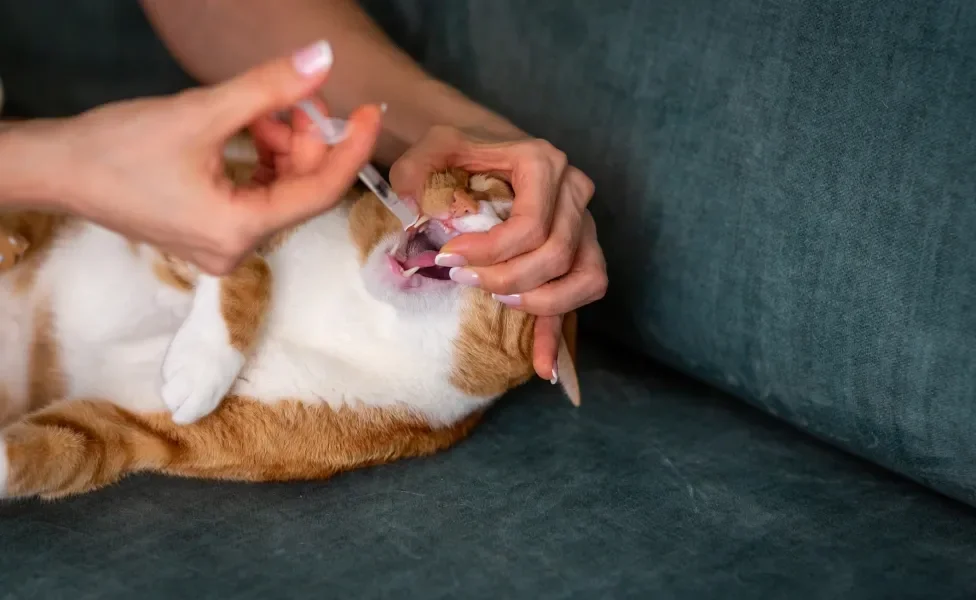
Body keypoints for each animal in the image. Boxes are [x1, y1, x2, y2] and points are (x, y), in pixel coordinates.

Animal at [0, 135, 580, 496]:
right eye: (484, 184)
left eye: (513, 225)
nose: (463, 207)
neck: (354, 309)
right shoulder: (222, 205)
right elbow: (253, 266)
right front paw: (208, 360)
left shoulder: (137, 428)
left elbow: (59, 447)